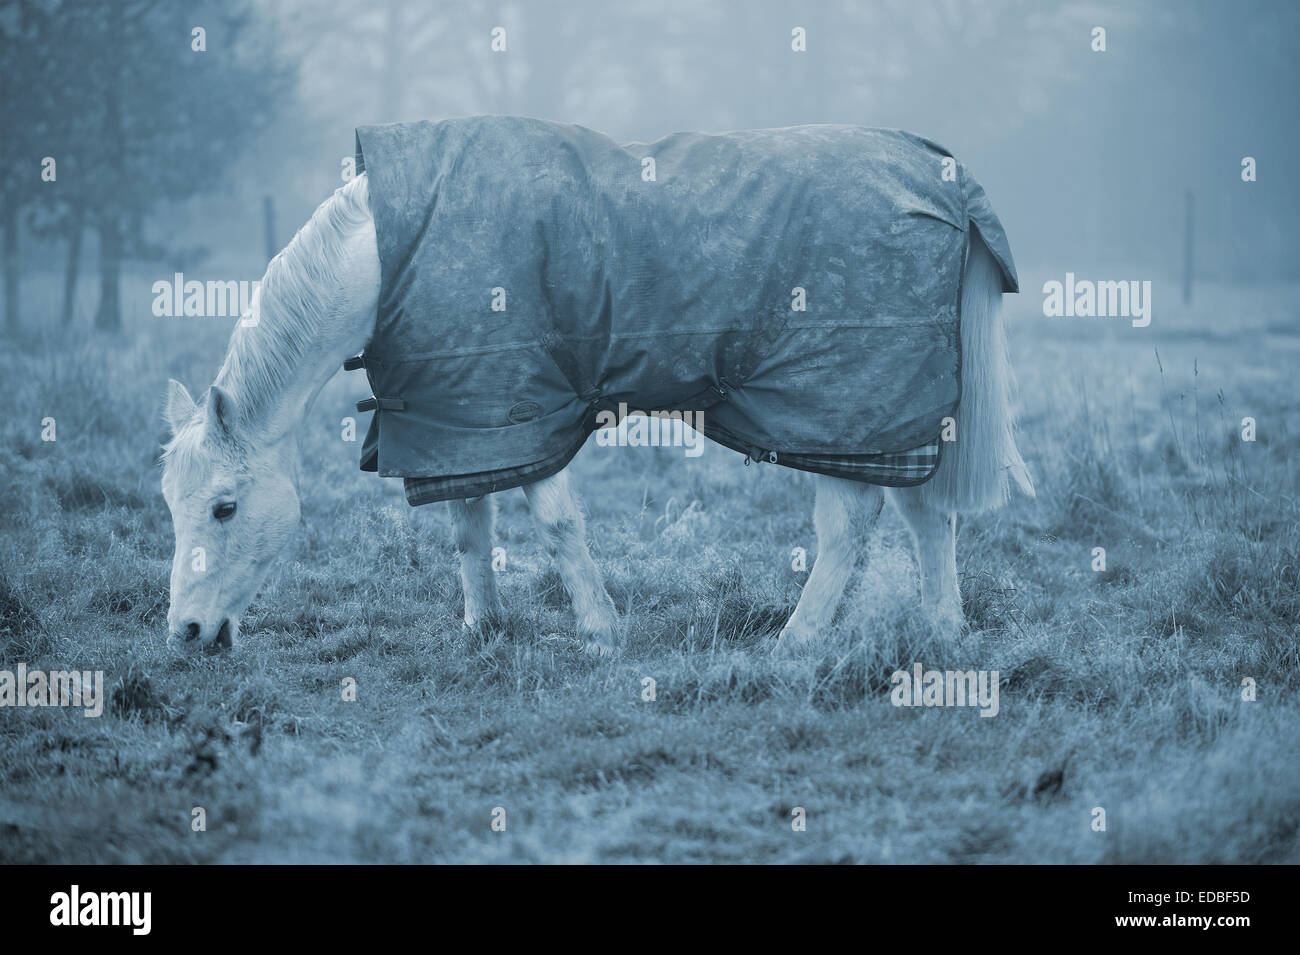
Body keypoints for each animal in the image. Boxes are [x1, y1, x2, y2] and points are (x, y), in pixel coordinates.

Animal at [162, 119, 1029, 657]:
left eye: (225, 507)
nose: (185, 631)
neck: (389, 256)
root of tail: (939, 172)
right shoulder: (459, 415)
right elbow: (469, 525)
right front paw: (481, 625)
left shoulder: (522, 404)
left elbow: (554, 522)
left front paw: (599, 629)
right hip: (893, 415)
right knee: (925, 517)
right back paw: (944, 629)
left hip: (840, 405)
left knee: (850, 524)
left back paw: (796, 642)